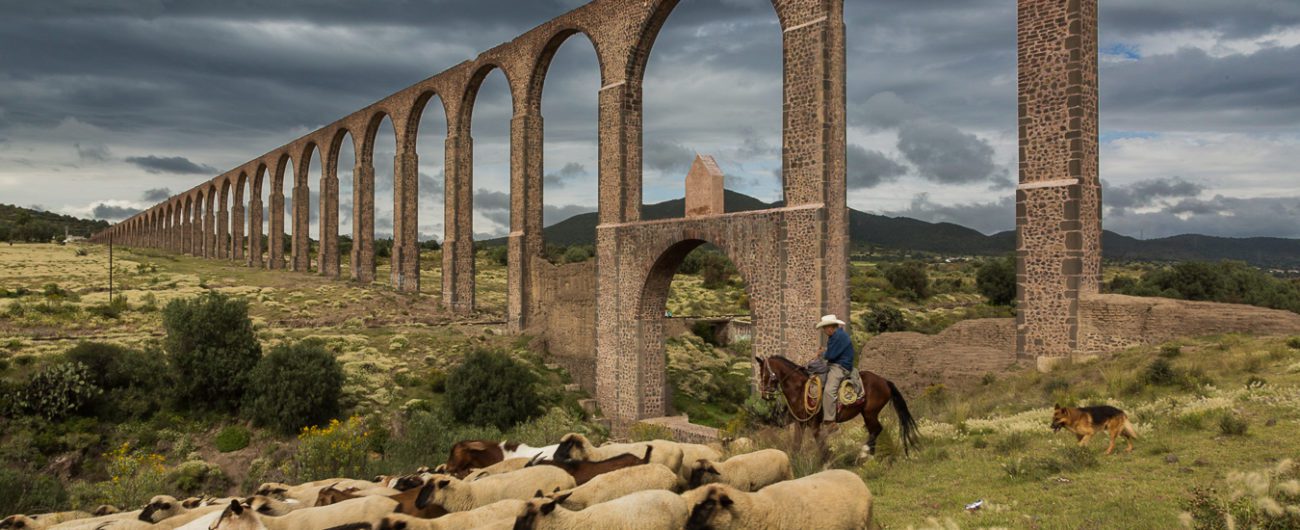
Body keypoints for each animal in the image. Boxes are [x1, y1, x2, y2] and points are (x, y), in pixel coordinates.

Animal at [759, 355, 920, 454]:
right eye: (760, 374)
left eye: (765, 373)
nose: (764, 395)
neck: (800, 388)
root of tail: (884, 381)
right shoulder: (800, 423)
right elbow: (796, 446)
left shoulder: (814, 424)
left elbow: (821, 446)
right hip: (867, 414)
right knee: (874, 430)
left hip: (870, 413)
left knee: (876, 429)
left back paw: (864, 454)